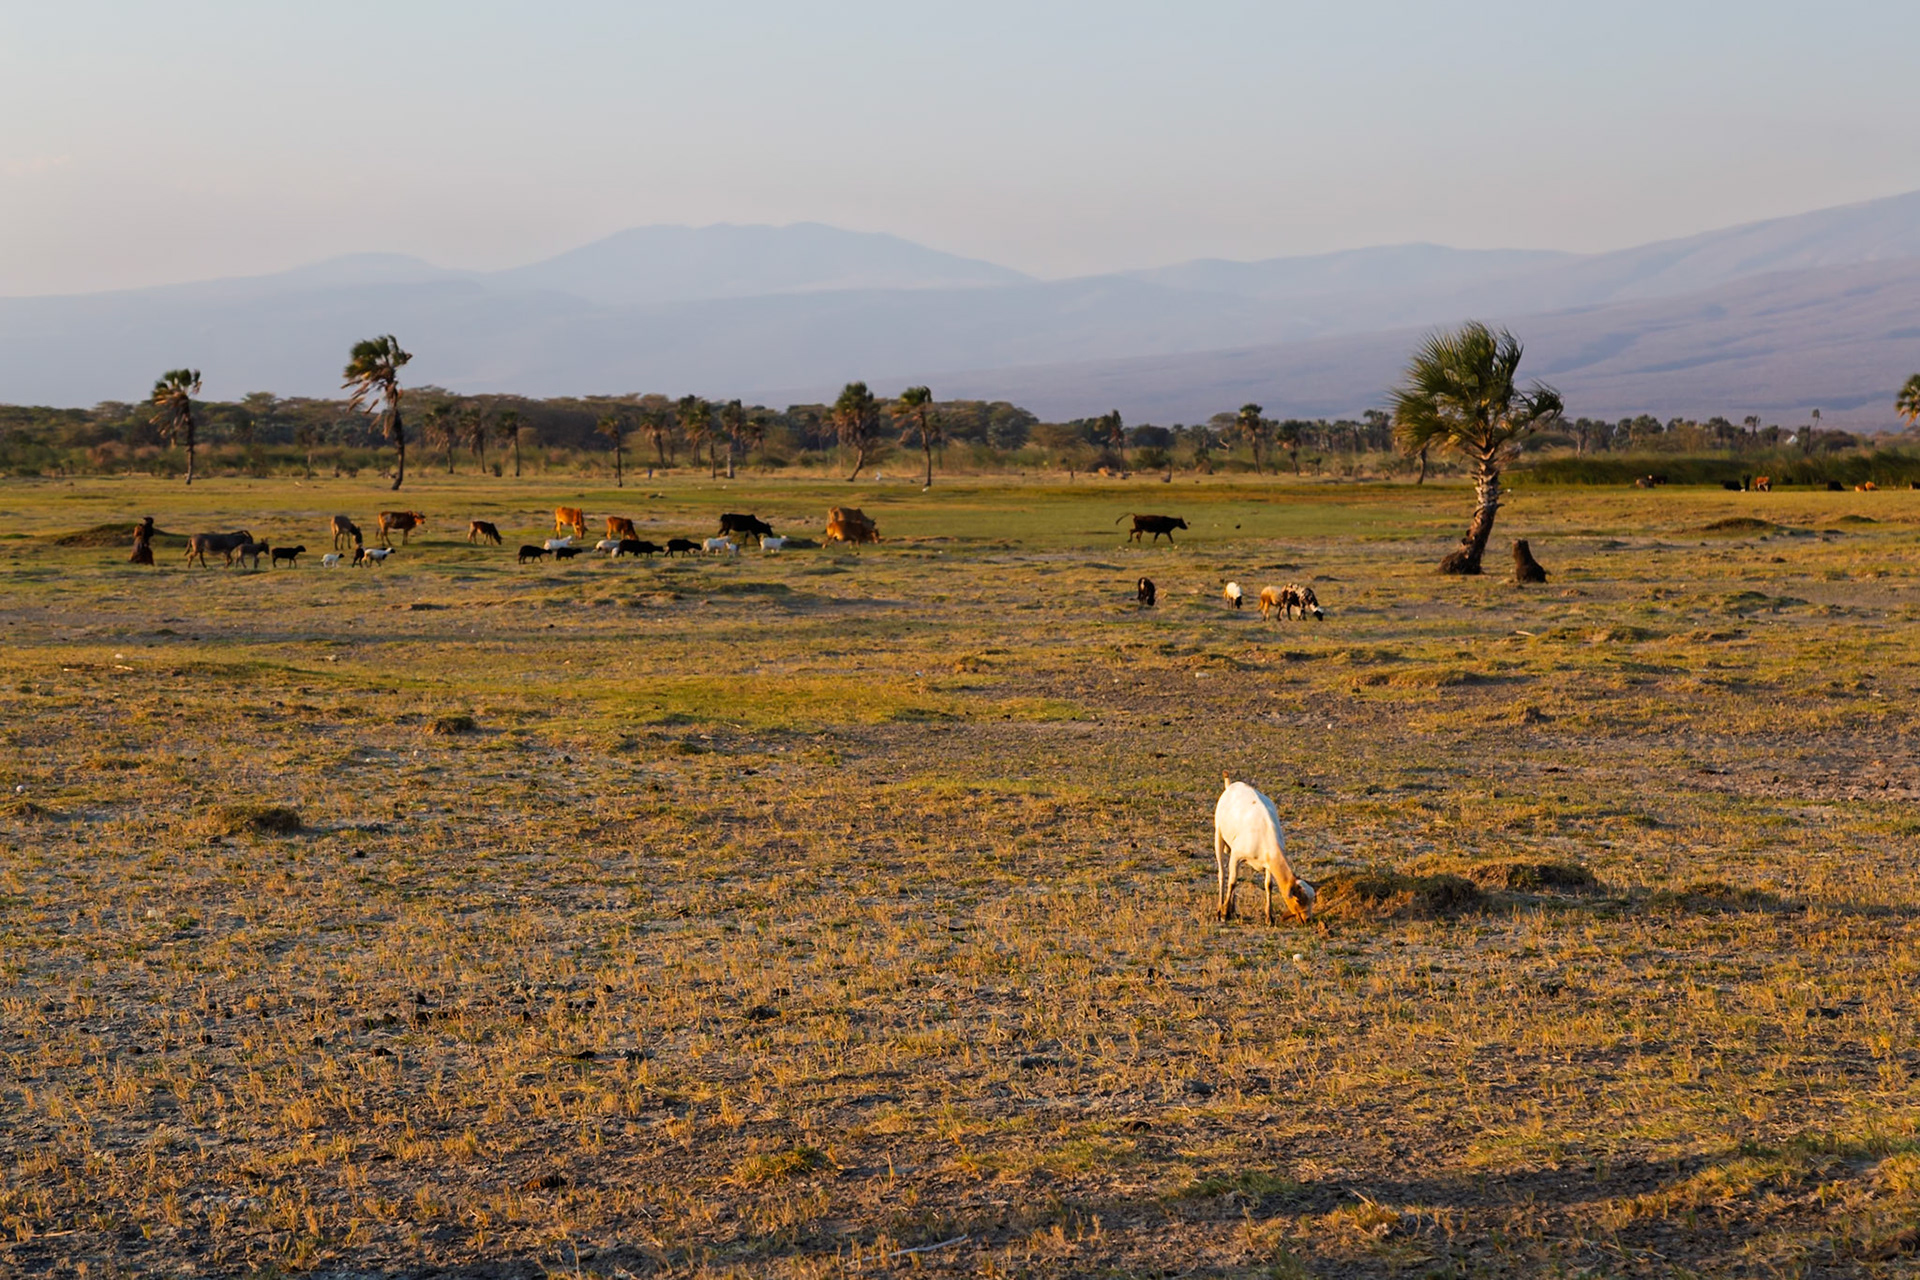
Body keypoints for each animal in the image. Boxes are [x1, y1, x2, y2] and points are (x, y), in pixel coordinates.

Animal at [1215, 775, 1314, 925]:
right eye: (1298, 900)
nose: (1307, 919)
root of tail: (1231, 785)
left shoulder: (1268, 862)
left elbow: (1268, 885)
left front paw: (1269, 917)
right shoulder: (1236, 855)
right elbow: (1232, 882)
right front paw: (1224, 914)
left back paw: (1233, 909)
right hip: (1218, 835)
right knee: (1222, 873)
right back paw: (1220, 909)